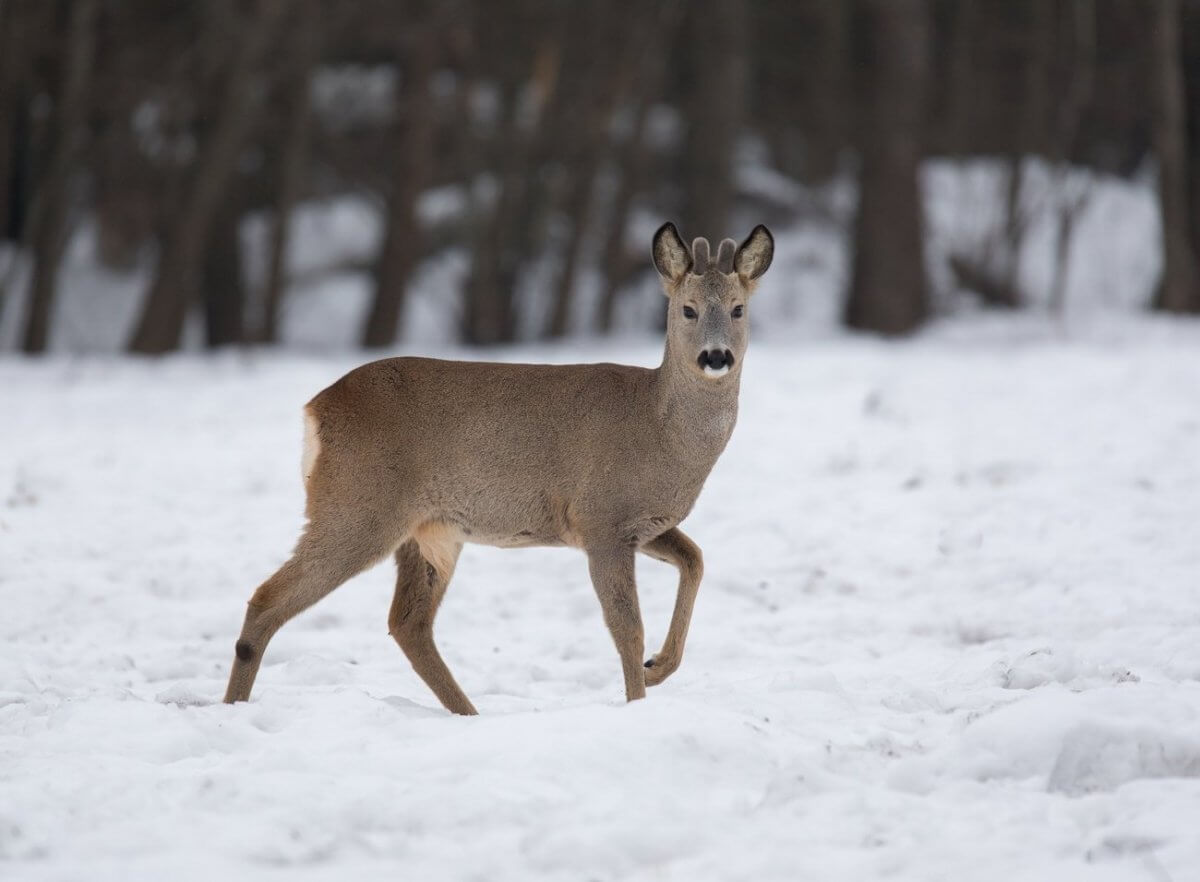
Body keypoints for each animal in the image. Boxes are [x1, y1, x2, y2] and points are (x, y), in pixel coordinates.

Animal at [222, 224, 772, 715]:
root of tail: (315, 409)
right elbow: (627, 629)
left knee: (408, 623)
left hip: (429, 529)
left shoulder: (644, 524)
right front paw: (639, 700)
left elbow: (696, 559)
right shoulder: (601, 518)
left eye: (739, 309)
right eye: (688, 308)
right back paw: (233, 705)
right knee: (268, 598)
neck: (660, 430)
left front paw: (659, 668)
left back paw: (468, 714)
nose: (716, 356)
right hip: (358, 505)